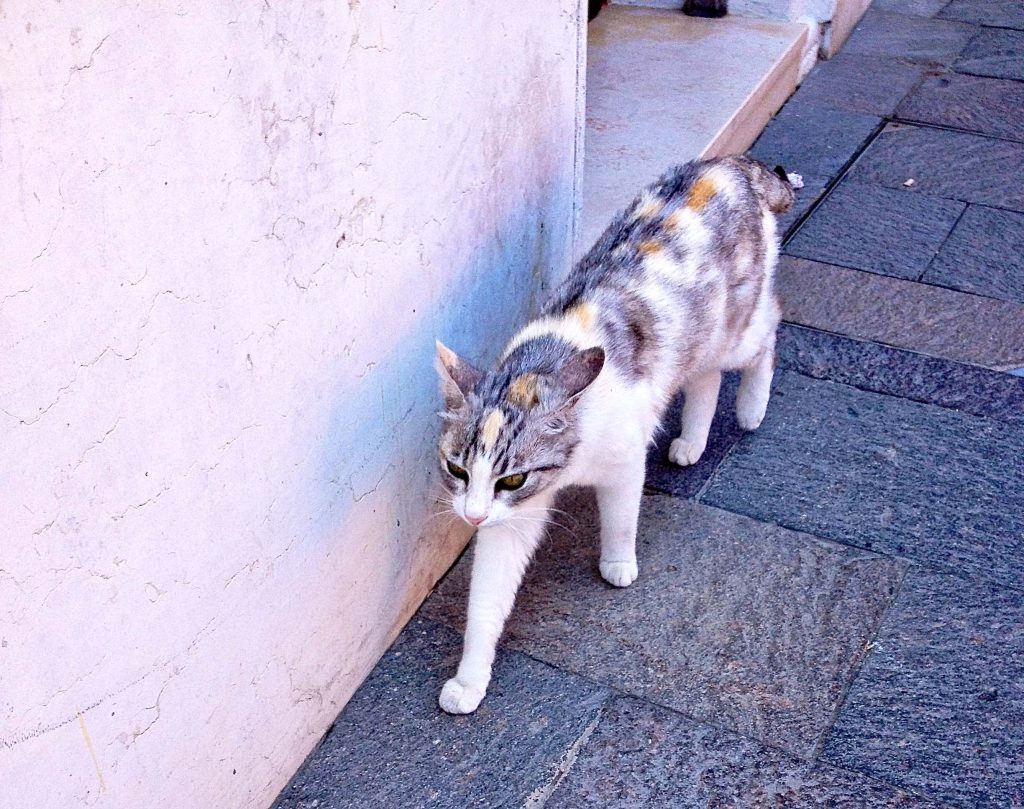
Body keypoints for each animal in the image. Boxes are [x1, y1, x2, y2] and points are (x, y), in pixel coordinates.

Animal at [432, 156, 798, 716]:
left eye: (512, 478)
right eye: (456, 468)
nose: (471, 516)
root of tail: (728, 164)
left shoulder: (623, 461)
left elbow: (622, 518)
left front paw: (619, 563)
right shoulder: (512, 520)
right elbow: (486, 601)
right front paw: (470, 680)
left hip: (734, 331)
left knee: (768, 329)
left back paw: (752, 408)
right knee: (705, 378)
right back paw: (693, 442)